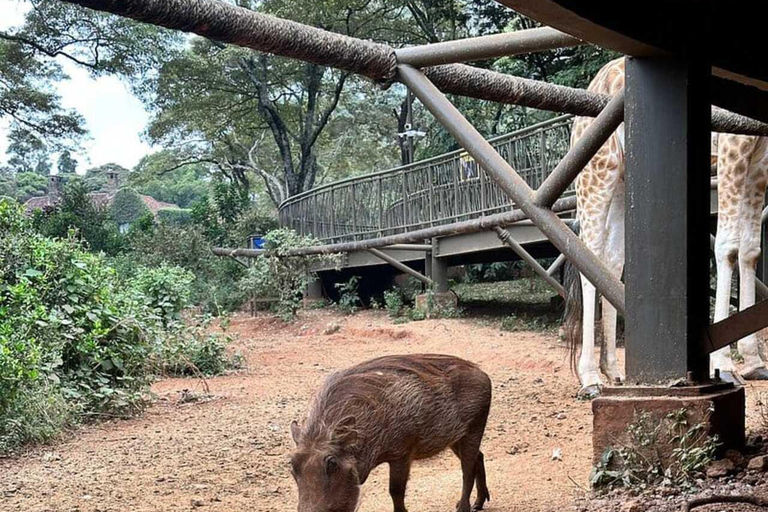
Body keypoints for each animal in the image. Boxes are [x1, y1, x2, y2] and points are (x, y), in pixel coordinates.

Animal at [564, 57, 768, 397]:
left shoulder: (761, 156)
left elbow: (750, 251)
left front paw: (754, 361)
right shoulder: (734, 141)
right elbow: (728, 247)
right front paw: (725, 365)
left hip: (623, 180)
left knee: (611, 261)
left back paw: (613, 370)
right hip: (596, 170)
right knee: (588, 257)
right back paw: (590, 378)